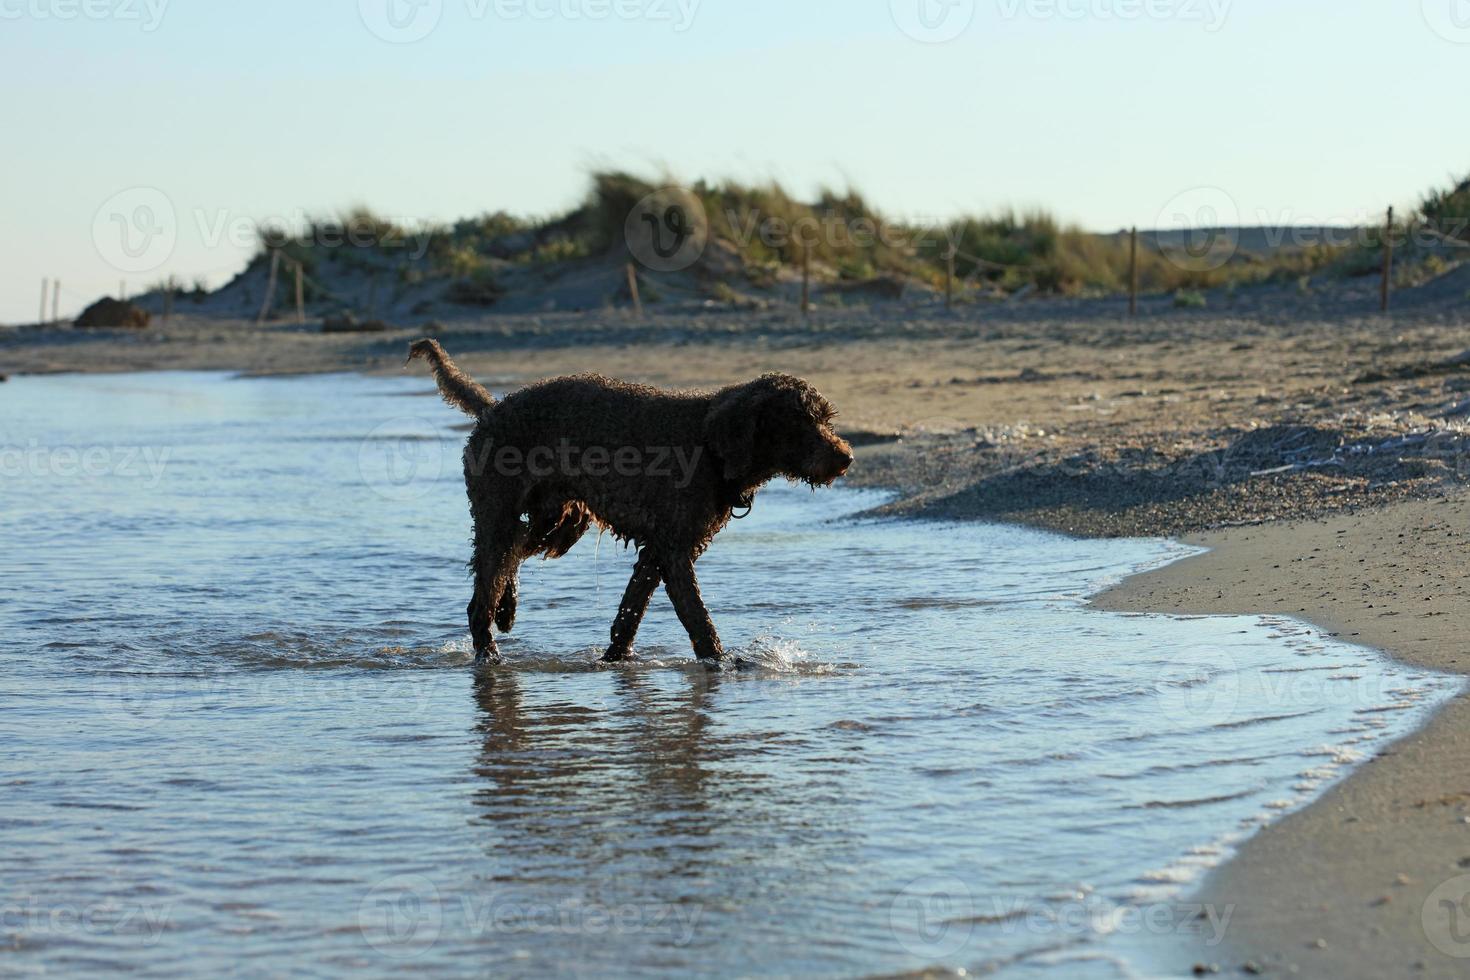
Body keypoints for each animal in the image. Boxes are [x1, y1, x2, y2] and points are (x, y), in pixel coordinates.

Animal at [408, 337, 858, 667]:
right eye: (800, 422)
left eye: (825, 419)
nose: (845, 458)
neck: (710, 444)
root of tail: (493, 409)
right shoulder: (674, 552)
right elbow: (697, 617)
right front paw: (721, 661)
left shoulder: (658, 552)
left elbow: (630, 612)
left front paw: (616, 659)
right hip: (499, 516)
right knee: (481, 594)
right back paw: (490, 652)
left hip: (558, 522)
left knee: (511, 557)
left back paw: (507, 609)